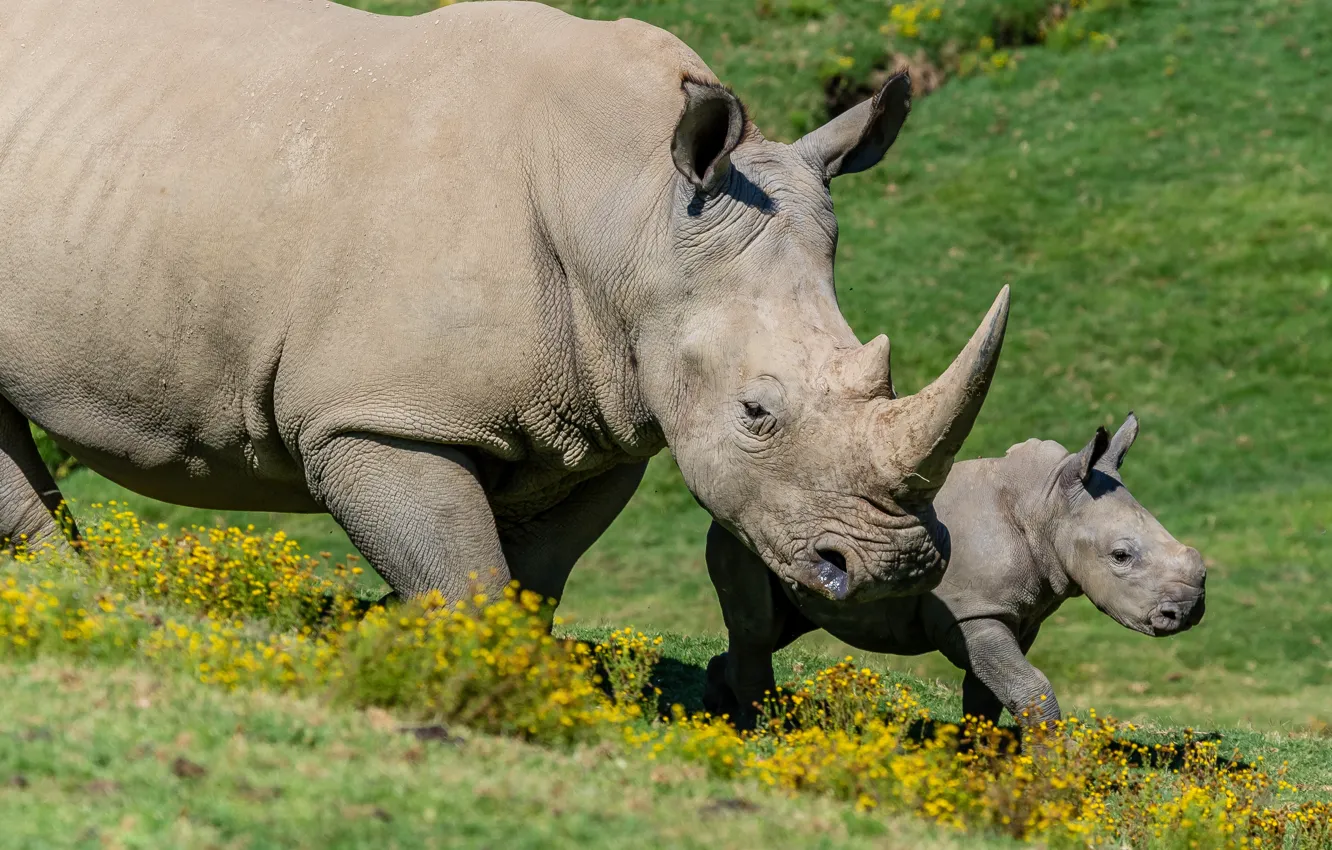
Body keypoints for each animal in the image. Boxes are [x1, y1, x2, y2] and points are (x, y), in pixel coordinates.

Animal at [0, 0, 1008, 611]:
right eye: (757, 414)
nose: (896, 572)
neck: (632, 211)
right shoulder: (379, 415)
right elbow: (466, 574)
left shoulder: (599, 420)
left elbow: (529, 583)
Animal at [704, 414, 1207, 726]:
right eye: (1121, 557)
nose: (1185, 613)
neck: (1048, 506)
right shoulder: (975, 610)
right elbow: (1029, 687)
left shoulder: (1016, 612)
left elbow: (990, 693)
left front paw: (977, 758)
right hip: (745, 533)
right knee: (758, 627)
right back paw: (761, 727)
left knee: (780, 626)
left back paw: (720, 711)